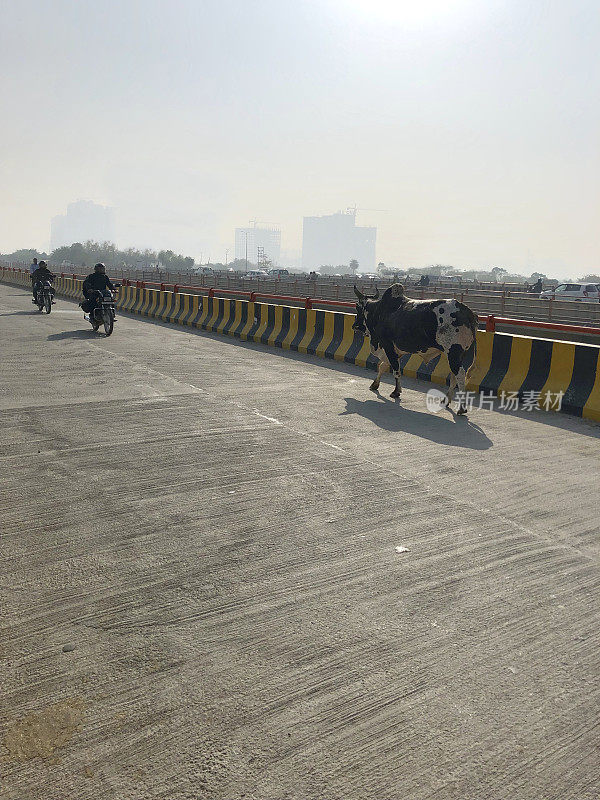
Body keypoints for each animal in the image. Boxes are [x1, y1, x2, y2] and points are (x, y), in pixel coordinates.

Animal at [352, 282, 478, 418]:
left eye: (357, 307)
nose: (354, 326)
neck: (379, 311)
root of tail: (466, 311)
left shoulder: (388, 346)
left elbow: (396, 371)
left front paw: (396, 392)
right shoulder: (393, 351)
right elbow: (383, 366)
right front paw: (375, 384)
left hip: (454, 353)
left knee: (460, 375)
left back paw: (462, 408)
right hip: (456, 355)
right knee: (454, 375)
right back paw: (446, 400)